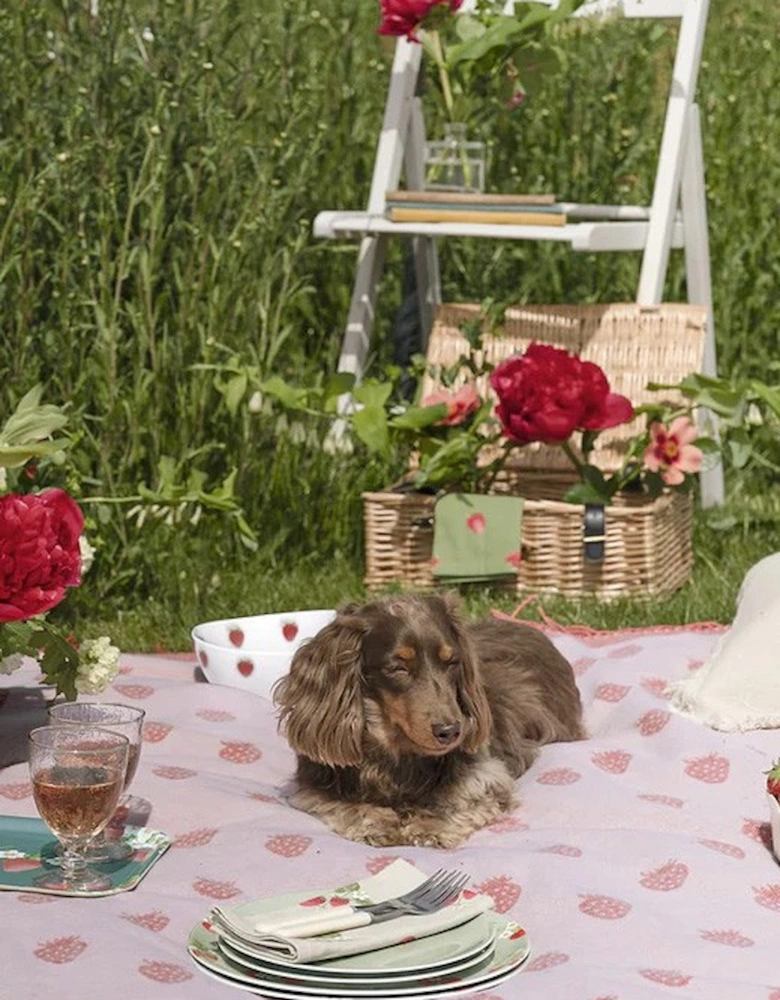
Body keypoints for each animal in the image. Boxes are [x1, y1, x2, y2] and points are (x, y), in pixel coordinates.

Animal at [274, 596, 584, 848]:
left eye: (452, 662)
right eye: (398, 668)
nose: (451, 731)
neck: (397, 750)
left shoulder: (487, 774)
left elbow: (462, 797)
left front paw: (430, 824)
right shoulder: (313, 785)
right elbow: (343, 804)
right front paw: (378, 822)